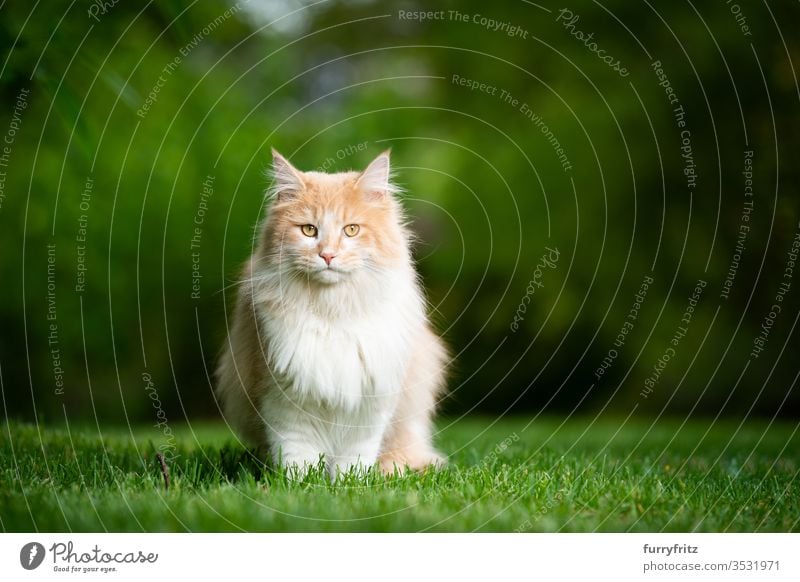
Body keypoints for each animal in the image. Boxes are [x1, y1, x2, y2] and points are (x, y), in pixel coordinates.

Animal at [214, 149, 450, 480]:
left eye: (351, 230)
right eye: (308, 230)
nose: (327, 255)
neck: (333, 310)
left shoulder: (369, 401)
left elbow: (353, 458)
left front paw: (348, 483)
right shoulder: (283, 396)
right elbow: (297, 454)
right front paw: (298, 483)